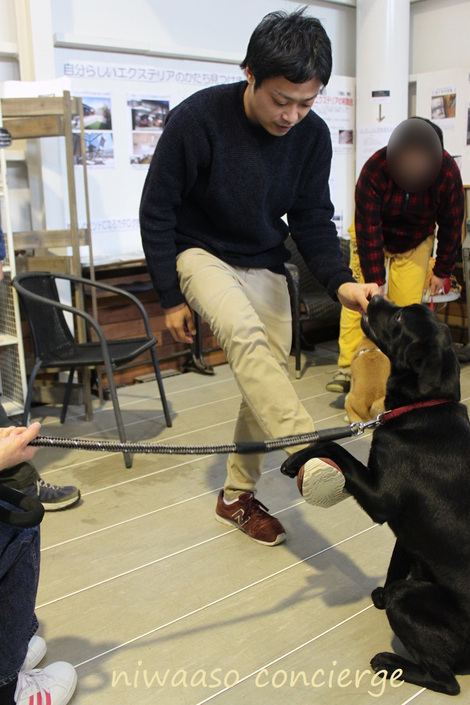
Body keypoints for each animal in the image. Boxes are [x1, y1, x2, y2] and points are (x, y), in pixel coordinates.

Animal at [280, 294, 470, 696]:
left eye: (399, 319)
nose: (375, 295)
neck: (425, 408)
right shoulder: (407, 536)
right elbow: (395, 565)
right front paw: (380, 592)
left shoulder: (380, 499)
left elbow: (334, 447)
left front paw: (294, 461)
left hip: (411, 605)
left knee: (447, 682)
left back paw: (390, 663)